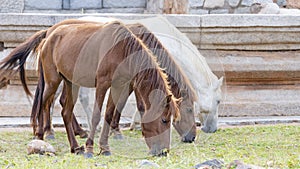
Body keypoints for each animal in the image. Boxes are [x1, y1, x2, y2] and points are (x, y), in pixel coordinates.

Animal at [0, 20, 180, 156]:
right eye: (164, 120)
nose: (164, 151)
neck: (121, 50)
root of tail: (47, 37)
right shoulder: (102, 84)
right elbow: (95, 116)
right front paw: (90, 148)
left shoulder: (118, 86)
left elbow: (108, 115)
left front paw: (104, 148)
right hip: (52, 81)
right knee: (43, 104)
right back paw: (40, 136)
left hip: (70, 83)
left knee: (65, 111)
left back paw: (74, 147)